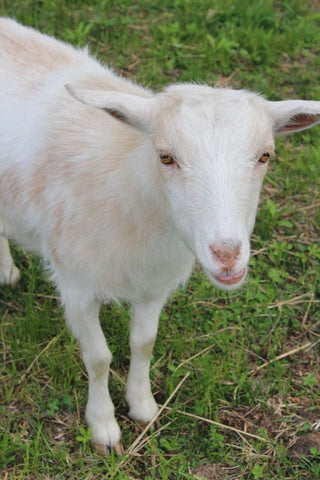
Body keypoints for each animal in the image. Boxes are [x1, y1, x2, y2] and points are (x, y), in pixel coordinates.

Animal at [0, 18, 320, 454]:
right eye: (166, 156)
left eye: (265, 155)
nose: (226, 255)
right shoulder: (76, 284)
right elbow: (98, 357)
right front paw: (103, 427)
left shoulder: (153, 284)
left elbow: (144, 343)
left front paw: (143, 406)